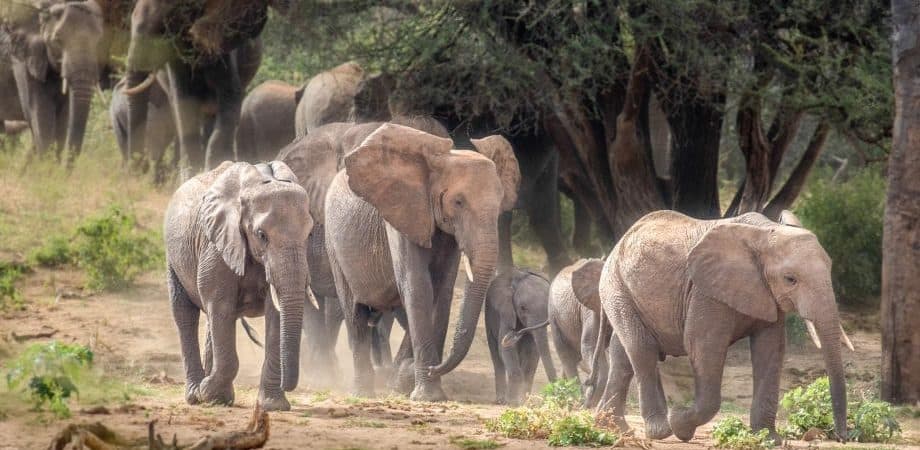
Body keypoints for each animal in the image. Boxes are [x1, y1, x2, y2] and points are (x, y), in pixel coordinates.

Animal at [123, 0, 288, 178]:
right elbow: (183, 102)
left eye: (161, 33)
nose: (138, 169)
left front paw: (220, 167)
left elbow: (231, 95)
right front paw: (191, 175)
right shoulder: (177, 58)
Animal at [164, 160, 314, 411]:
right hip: (173, 258)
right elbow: (221, 305)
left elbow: (274, 314)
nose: (289, 384)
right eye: (261, 235)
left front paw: (273, 405)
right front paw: (208, 393)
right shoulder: (216, 246)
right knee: (185, 314)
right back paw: (197, 395)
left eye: (310, 234)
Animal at [324, 123, 520, 401]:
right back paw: (364, 392)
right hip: (333, 241)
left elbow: (442, 291)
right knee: (355, 314)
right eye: (458, 202)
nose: (434, 367)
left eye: (500, 202)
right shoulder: (402, 216)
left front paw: (414, 384)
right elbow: (418, 288)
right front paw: (428, 395)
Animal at [486, 267, 557, 405]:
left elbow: (533, 350)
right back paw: (501, 400)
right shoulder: (506, 312)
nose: (511, 337)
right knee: (496, 355)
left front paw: (523, 402)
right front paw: (513, 402)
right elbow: (505, 350)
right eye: (523, 308)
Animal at [589, 210, 853, 443]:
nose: (844, 436)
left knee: (622, 357)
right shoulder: (705, 292)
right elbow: (703, 346)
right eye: (790, 279)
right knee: (641, 350)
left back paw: (613, 428)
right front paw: (680, 424)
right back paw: (660, 429)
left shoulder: (766, 294)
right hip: (616, 287)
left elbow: (770, 350)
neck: (763, 232)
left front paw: (768, 439)